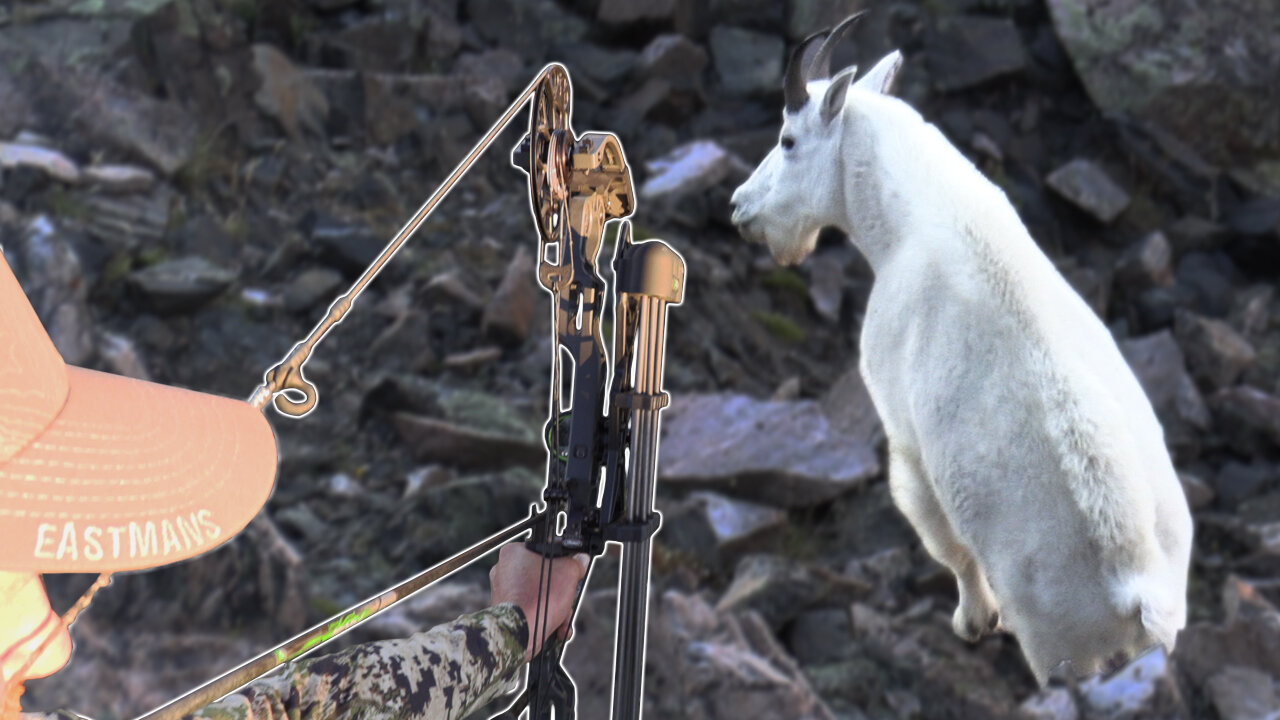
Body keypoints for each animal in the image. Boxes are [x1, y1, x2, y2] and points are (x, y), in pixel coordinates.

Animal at [732, 14, 1198, 681]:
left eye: (788, 139)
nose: (740, 207)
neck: (910, 218)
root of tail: (1136, 591)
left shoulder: (904, 433)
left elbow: (941, 536)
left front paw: (973, 623)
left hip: (1056, 644)